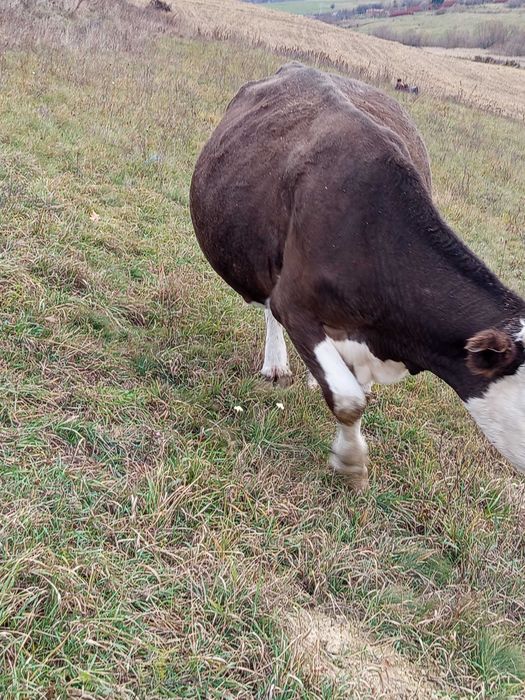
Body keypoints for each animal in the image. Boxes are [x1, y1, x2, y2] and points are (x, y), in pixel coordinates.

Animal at [190, 62, 525, 492]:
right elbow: (348, 401)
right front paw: (351, 462)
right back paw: (277, 365)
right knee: (268, 304)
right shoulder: (294, 303)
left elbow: (355, 389)